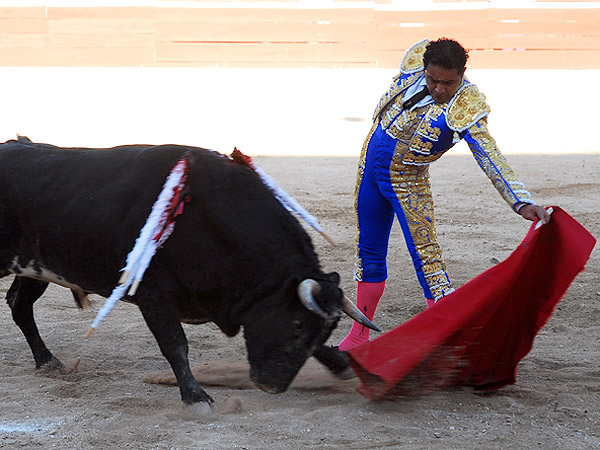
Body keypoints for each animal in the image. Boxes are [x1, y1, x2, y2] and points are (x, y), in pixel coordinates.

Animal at [0, 139, 376, 410]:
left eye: (323, 330)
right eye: (296, 325)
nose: (272, 386)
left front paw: (342, 363)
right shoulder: (155, 295)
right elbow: (175, 345)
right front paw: (196, 398)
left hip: (34, 270)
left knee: (19, 305)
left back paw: (47, 361)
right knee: (19, 305)